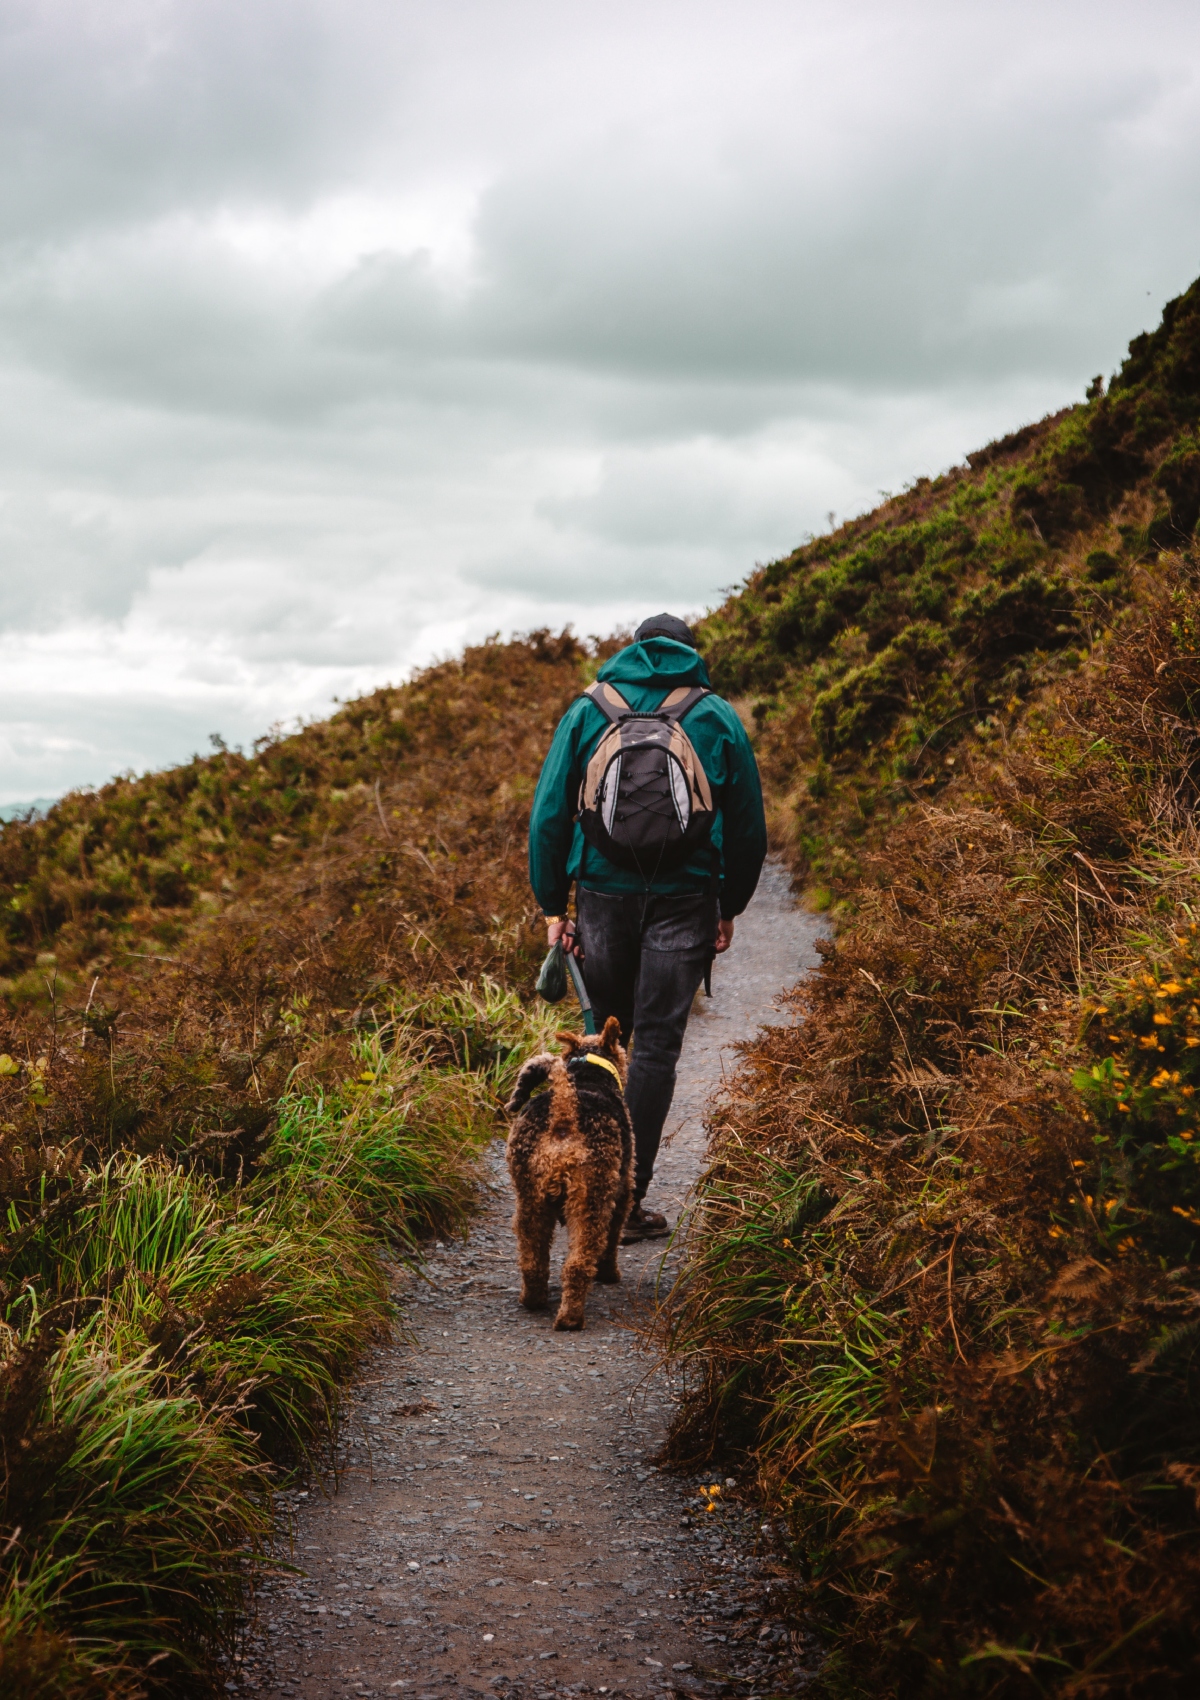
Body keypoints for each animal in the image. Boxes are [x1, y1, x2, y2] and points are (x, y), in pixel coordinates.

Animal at [503, 1006, 635, 1326]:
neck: (588, 1076)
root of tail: (563, 1115)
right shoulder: (623, 1190)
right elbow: (613, 1239)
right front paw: (610, 1274)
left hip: (530, 1200)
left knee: (532, 1260)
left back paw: (532, 1300)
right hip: (591, 1202)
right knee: (578, 1265)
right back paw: (570, 1318)